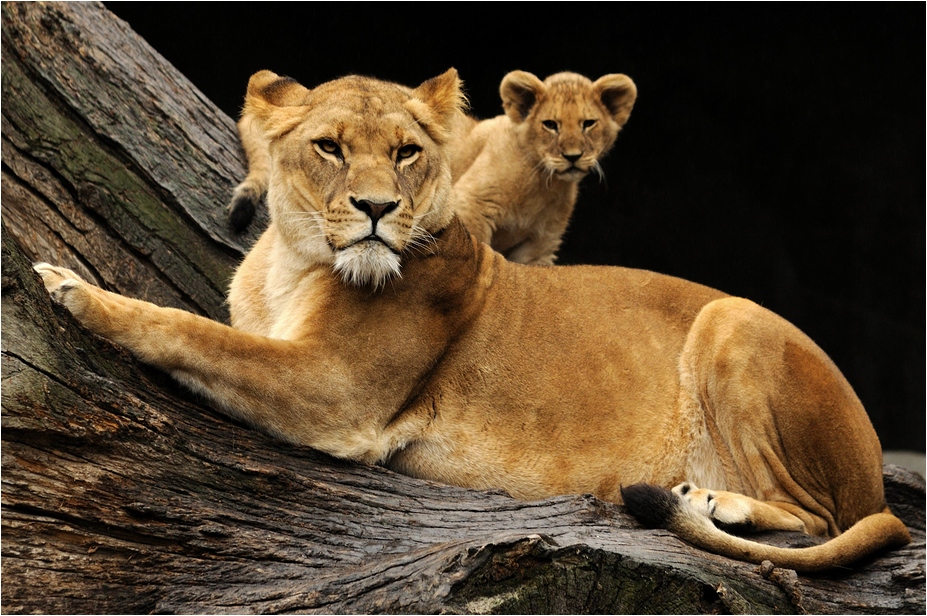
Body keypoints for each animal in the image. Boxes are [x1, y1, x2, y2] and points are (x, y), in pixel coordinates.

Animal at [227, 70, 637, 266]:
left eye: (589, 124)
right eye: (550, 125)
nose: (572, 156)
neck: (544, 185)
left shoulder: (541, 245)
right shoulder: (472, 205)